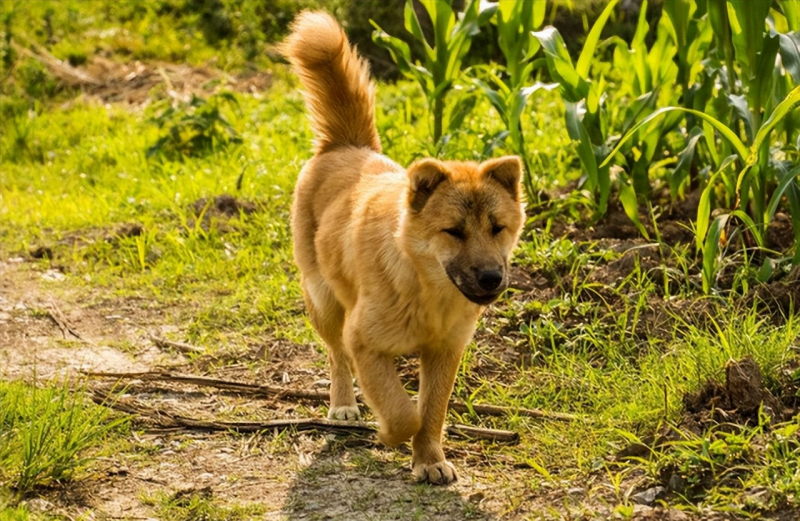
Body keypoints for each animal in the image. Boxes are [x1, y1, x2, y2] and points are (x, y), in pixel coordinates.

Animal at [282, 11, 524, 484]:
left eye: (498, 228)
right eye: (454, 231)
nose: (491, 277)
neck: (426, 291)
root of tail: (347, 145)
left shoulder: (445, 353)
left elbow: (431, 413)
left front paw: (428, 459)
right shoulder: (365, 341)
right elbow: (401, 412)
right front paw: (389, 435)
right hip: (324, 302)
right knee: (336, 356)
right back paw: (343, 405)